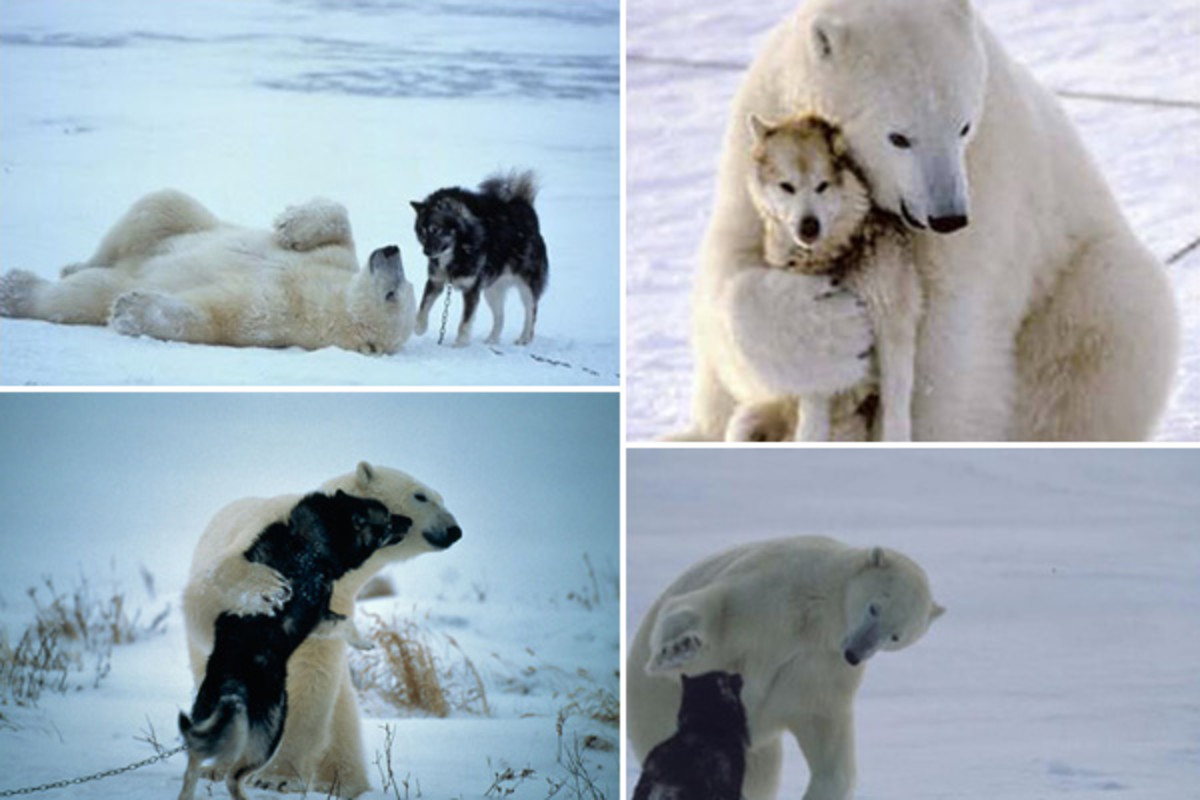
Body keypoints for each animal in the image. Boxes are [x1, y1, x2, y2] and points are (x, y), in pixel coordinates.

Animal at [0, 189, 417, 355]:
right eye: (404, 285)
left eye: (394, 294)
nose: (392, 250)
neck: (329, 299)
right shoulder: (336, 262)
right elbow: (339, 225)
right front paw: (290, 224)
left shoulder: (279, 313)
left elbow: (214, 313)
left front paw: (131, 309)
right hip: (176, 223)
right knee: (158, 207)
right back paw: (72, 263)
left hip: (117, 277)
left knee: (83, 294)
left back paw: (16, 290)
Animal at [182, 462, 462, 798]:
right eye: (421, 496)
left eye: (442, 497)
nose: (455, 530)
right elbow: (209, 592)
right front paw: (266, 586)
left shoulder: (335, 602)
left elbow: (312, 678)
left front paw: (280, 778)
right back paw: (217, 766)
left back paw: (343, 783)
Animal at [628, 536, 943, 800]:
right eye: (874, 607)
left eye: (896, 635)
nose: (855, 653)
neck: (817, 620)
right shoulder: (771, 593)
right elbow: (713, 612)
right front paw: (677, 649)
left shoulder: (821, 668)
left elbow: (825, 736)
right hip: (656, 711)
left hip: (759, 750)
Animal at [675, 0, 1179, 442]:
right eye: (898, 136)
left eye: (963, 125)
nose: (947, 216)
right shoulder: (759, 135)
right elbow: (729, 270)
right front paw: (830, 332)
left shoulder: (988, 176)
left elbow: (948, 333)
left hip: (1074, 284)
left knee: (1109, 321)